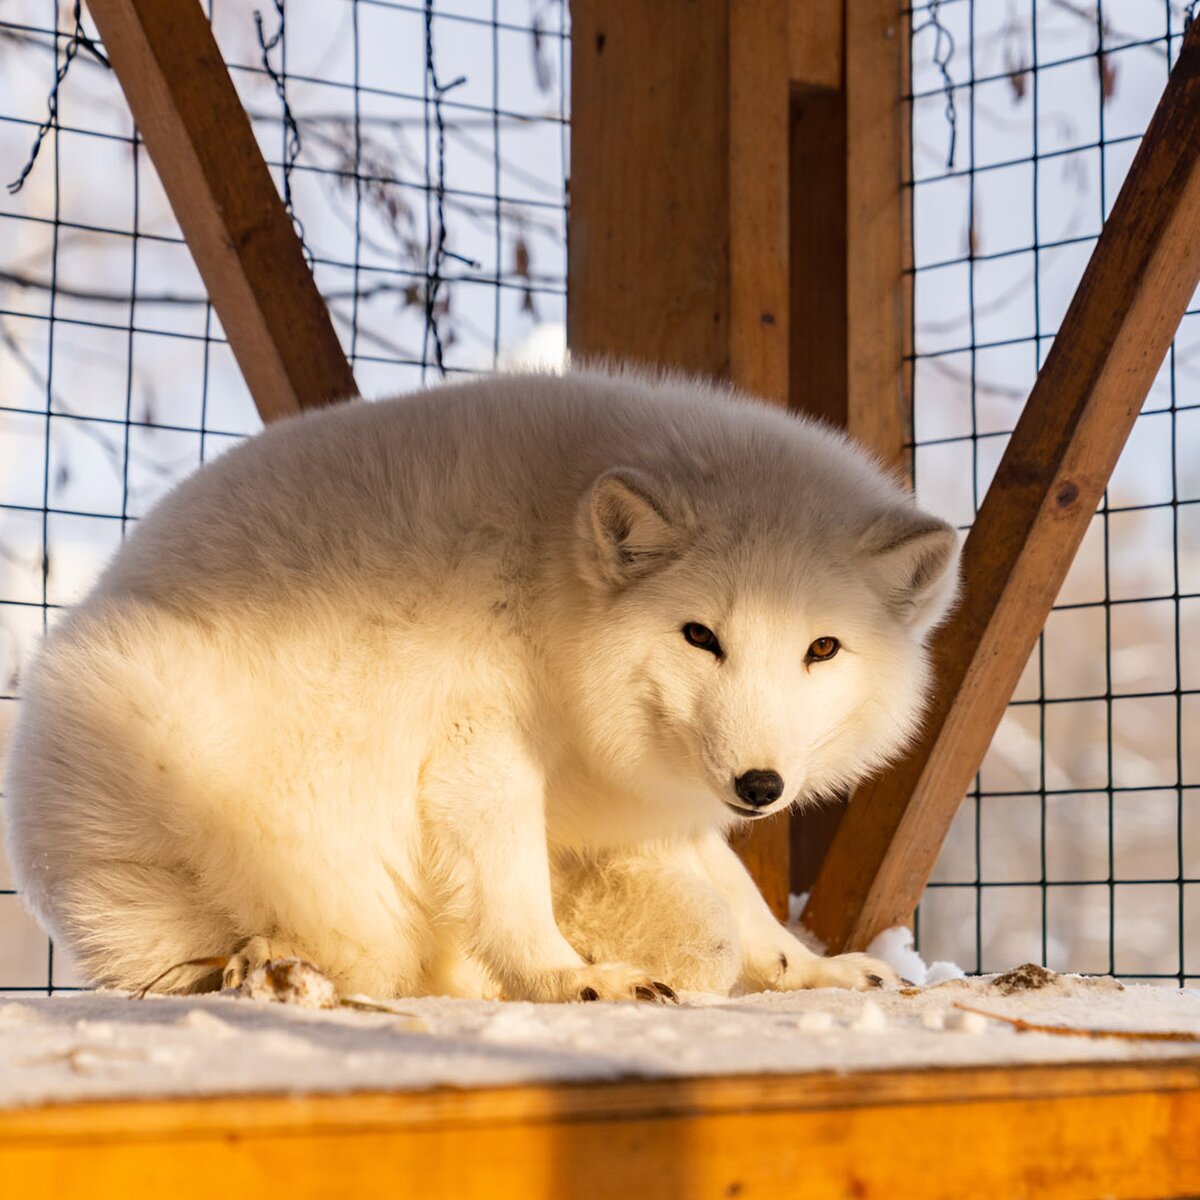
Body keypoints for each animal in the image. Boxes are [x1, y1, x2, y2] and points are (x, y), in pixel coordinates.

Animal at [0, 369, 955, 998]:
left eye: (822, 648)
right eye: (700, 636)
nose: (760, 786)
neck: (556, 587)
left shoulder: (656, 801)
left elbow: (741, 901)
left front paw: (813, 968)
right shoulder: (477, 752)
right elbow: (513, 894)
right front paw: (568, 981)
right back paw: (272, 968)